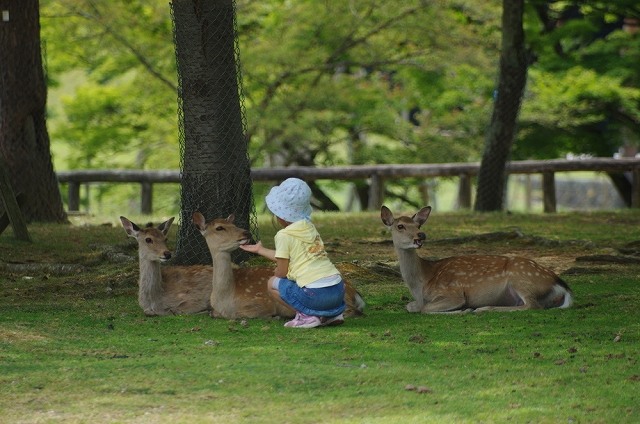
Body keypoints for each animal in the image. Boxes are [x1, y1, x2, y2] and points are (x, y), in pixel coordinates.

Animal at [191, 211, 364, 318]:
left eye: (234, 225)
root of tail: (355, 292)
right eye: (219, 227)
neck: (225, 300)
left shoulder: (262, 304)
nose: (246, 233)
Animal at [380, 207, 576, 314]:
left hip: (521, 278)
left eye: (418, 225)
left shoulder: (453, 292)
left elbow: (423, 309)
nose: (421, 235)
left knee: (532, 305)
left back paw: (483, 309)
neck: (422, 284)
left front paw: (464, 309)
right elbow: (410, 306)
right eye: (400, 226)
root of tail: (561, 285)